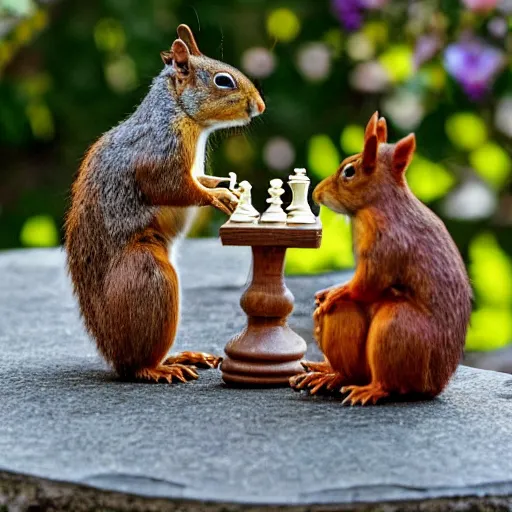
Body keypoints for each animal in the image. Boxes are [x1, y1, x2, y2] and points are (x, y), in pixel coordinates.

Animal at [66, 25, 266, 384]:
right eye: (223, 81)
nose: (260, 105)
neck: (183, 116)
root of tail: (112, 354)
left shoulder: (192, 168)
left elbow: (200, 180)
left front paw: (225, 188)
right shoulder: (158, 153)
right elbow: (173, 188)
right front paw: (218, 198)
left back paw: (181, 356)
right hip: (149, 277)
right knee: (136, 365)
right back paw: (157, 368)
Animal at [292, 111, 472, 404]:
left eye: (349, 171)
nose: (317, 193)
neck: (375, 205)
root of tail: (435, 384)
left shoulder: (387, 244)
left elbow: (368, 283)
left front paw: (335, 293)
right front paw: (326, 292)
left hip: (395, 330)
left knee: (387, 382)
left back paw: (365, 388)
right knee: (349, 370)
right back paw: (326, 372)